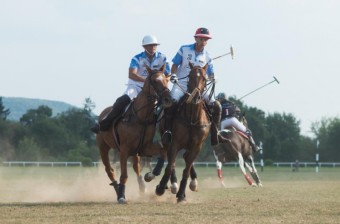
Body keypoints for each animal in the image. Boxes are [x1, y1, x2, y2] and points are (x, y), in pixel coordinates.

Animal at [94, 64, 173, 203]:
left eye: (166, 80)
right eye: (154, 81)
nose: (168, 99)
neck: (142, 117)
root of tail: (103, 113)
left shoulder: (144, 147)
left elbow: (163, 150)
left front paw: (150, 175)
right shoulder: (124, 149)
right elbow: (124, 175)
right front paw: (121, 196)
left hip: (135, 152)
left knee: (136, 167)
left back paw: (142, 187)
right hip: (103, 147)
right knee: (110, 170)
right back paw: (118, 190)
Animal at [153, 62, 210, 202]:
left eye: (204, 78)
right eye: (190, 76)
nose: (195, 96)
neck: (192, 119)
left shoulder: (197, 146)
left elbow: (186, 169)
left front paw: (181, 194)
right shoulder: (175, 142)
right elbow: (170, 166)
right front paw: (161, 188)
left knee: (185, 158)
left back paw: (192, 183)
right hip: (167, 140)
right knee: (169, 159)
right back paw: (172, 183)